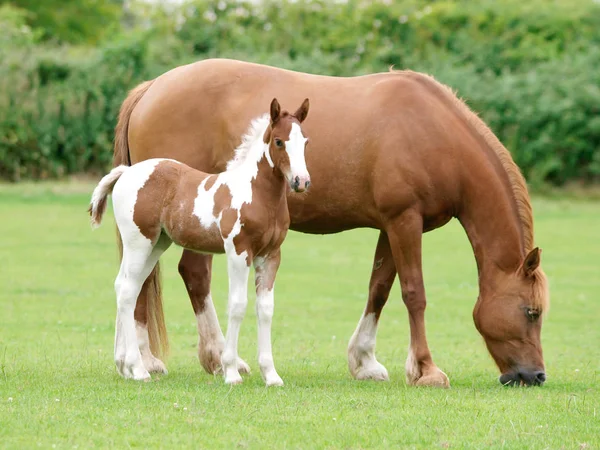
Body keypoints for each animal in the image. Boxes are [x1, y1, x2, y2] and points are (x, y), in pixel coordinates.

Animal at [92, 97, 314, 384]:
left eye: (305, 141)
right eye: (278, 141)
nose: (301, 182)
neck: (256, 193)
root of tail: (125, 173)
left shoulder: (271, 255)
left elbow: (265, 308)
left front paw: (271, 375)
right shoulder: (239, 252)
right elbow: (237, 305)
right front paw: (231, 370)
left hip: (156, 244)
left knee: (125, 286)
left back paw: (126, 367)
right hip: (138, 243)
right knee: (129, 290)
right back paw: (139, 369)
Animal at [115, 59, 552, 386]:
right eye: (532, 311)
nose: (535, 375)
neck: (432, 133)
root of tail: (151, 88)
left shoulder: (392, 225)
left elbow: (380, 288)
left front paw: (364, 361)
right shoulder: (405, 221)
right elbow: (414, 292)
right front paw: (425, 369)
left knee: (154, 280)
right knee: (173, 278)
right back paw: (178, 359)